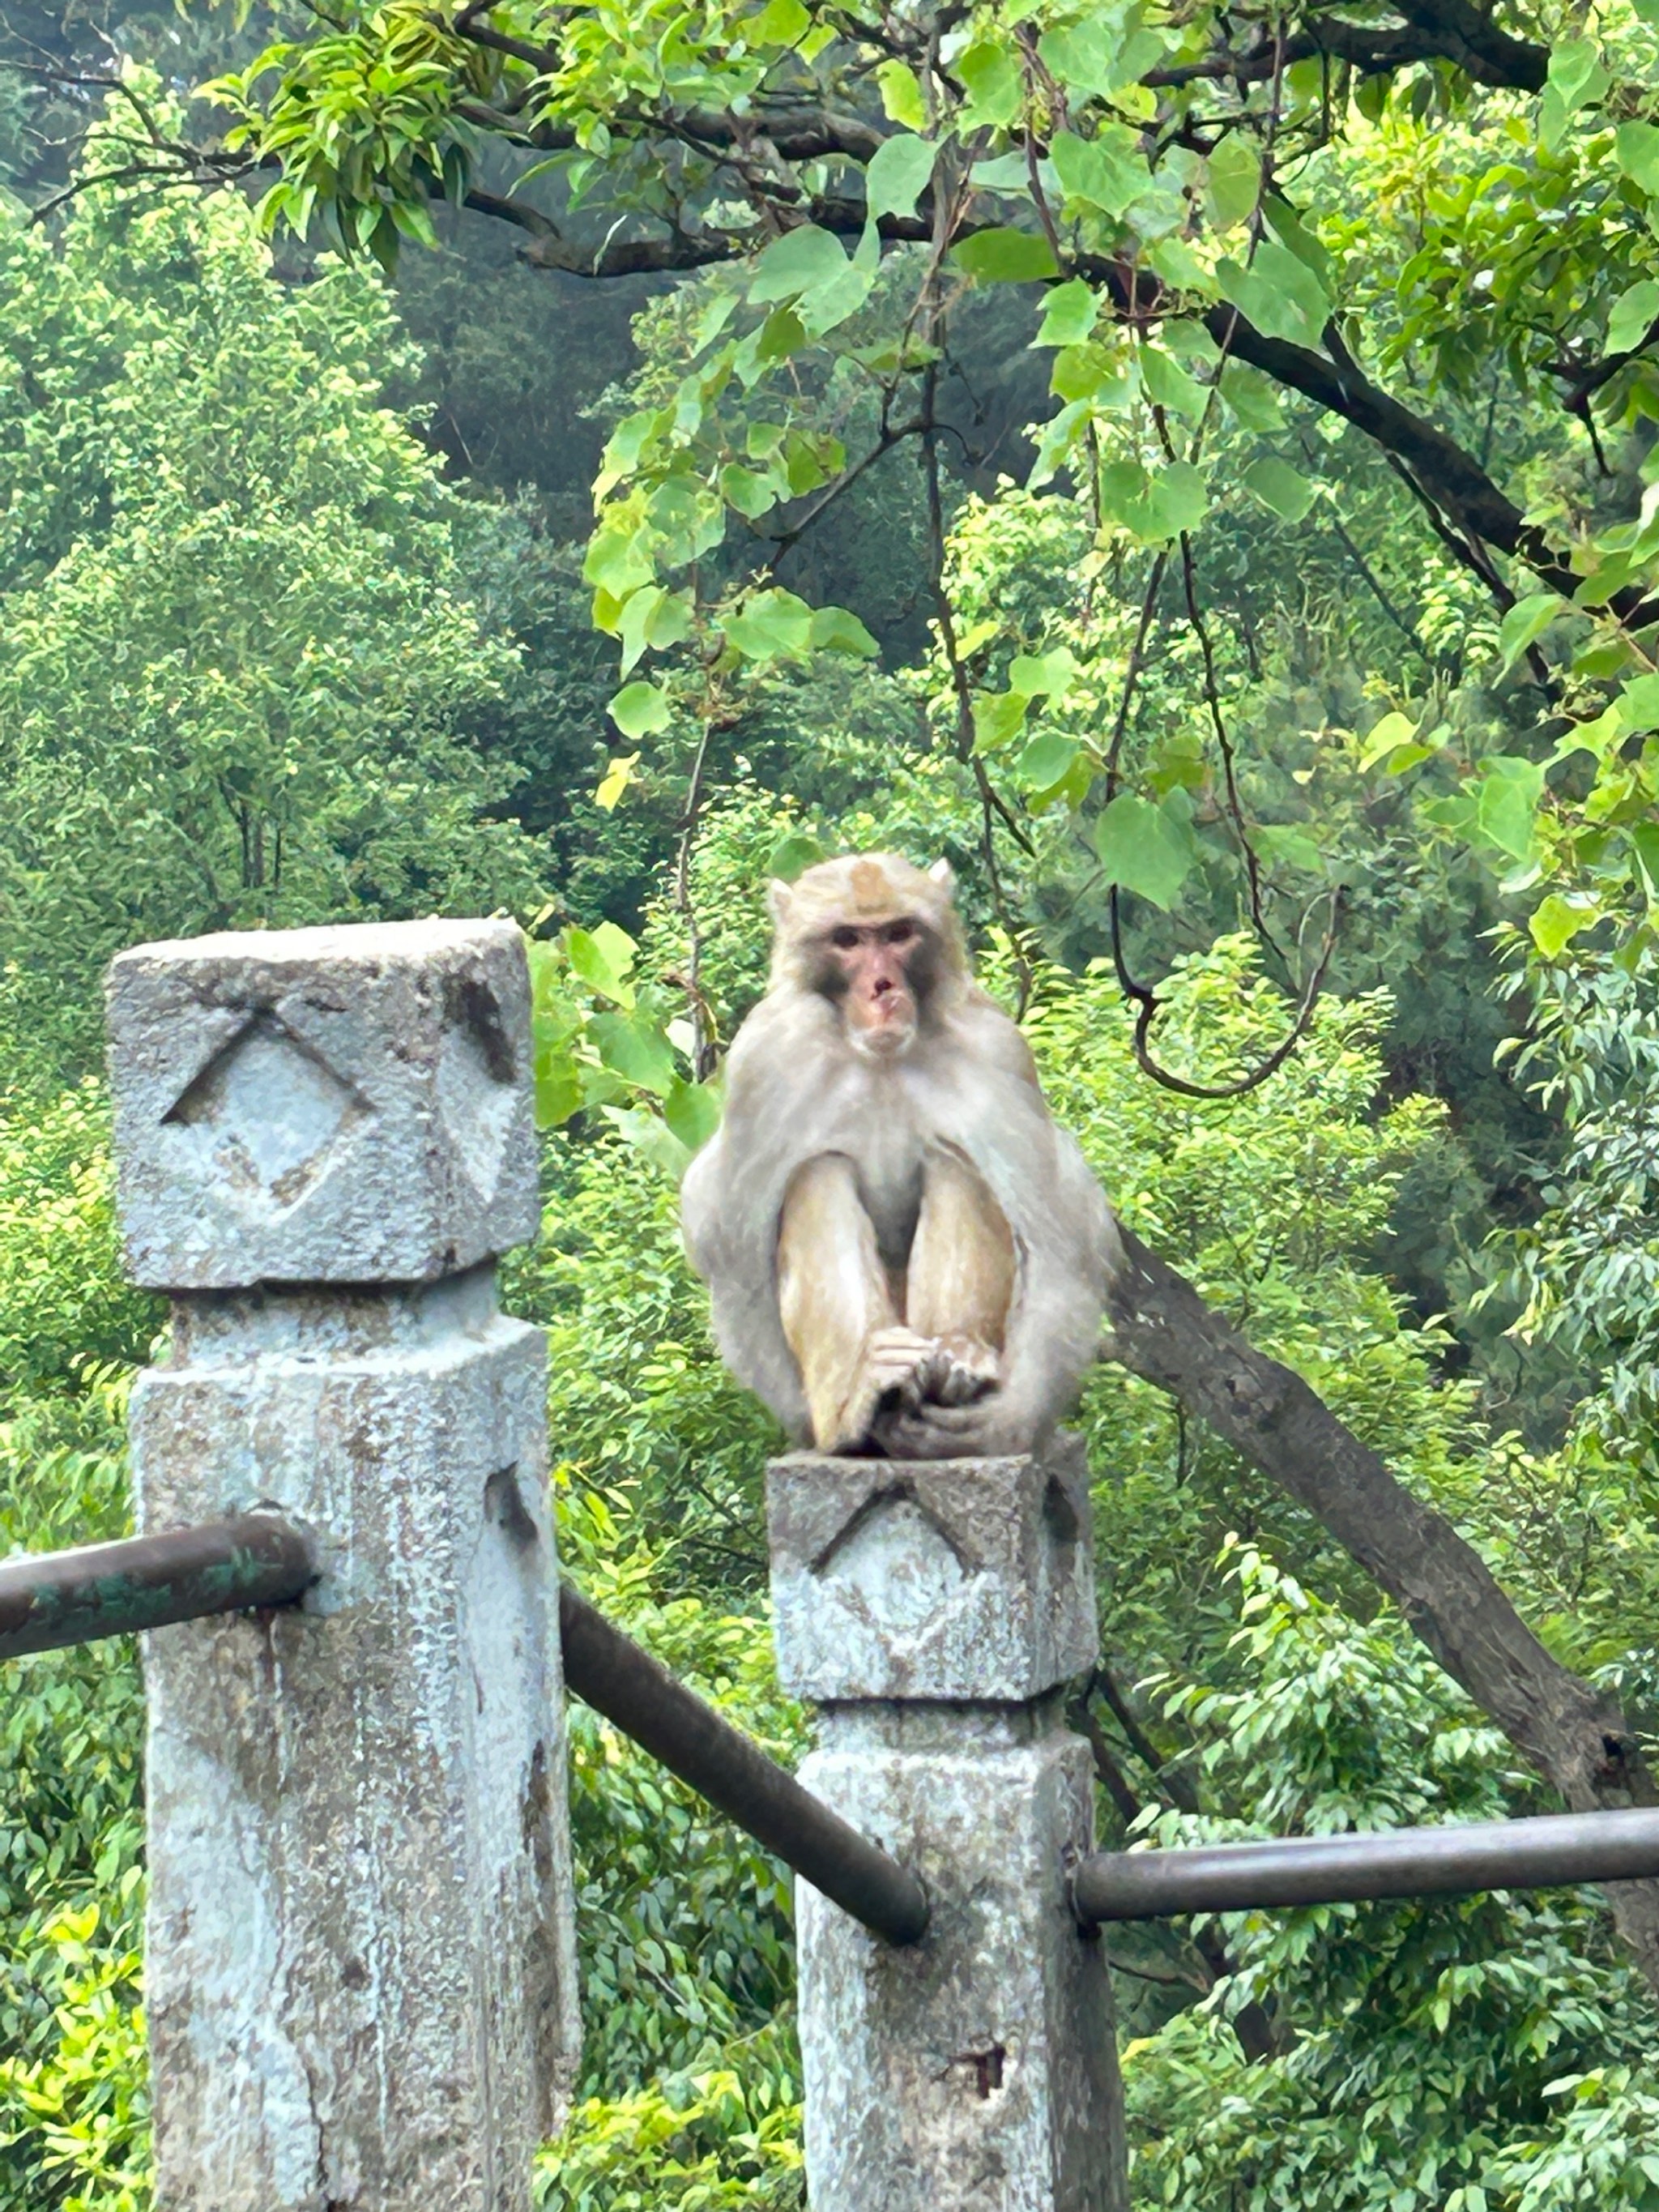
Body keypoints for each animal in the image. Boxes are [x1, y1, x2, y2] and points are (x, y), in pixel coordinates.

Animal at [681, 853, 1124, 1459]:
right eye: (847, 939)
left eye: (898, 933)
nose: (882, 985)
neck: (881, 1056)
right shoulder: (763, 1061)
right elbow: (731, 1254)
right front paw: (822, 1430)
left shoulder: (997, 1050)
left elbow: (1063, 1238)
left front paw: (1006, 1423)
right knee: (819, 1171)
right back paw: (863, 1396)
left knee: (954, 1159)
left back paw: (957, 1361)